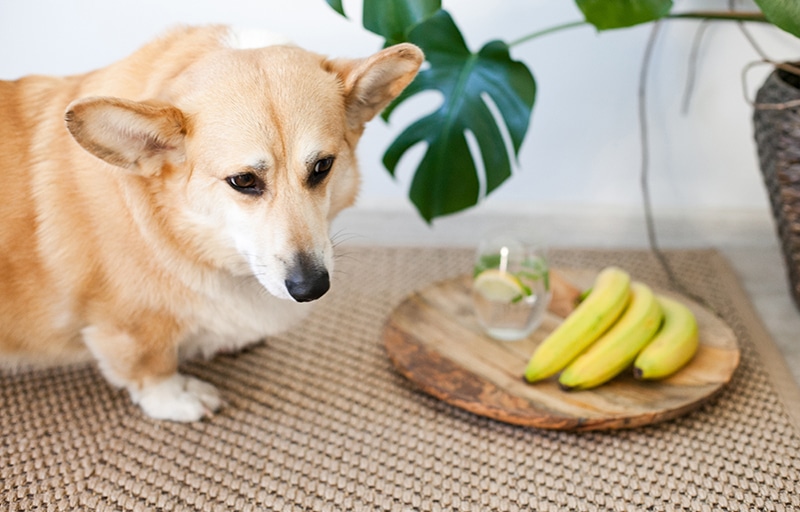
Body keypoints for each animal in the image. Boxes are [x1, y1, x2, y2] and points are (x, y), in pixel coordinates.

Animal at [0, 25, 424, 420]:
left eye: (323, 166)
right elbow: (150, 366)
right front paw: (176, 397)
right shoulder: (129, 325)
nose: (311, 288)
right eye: (244, 181)